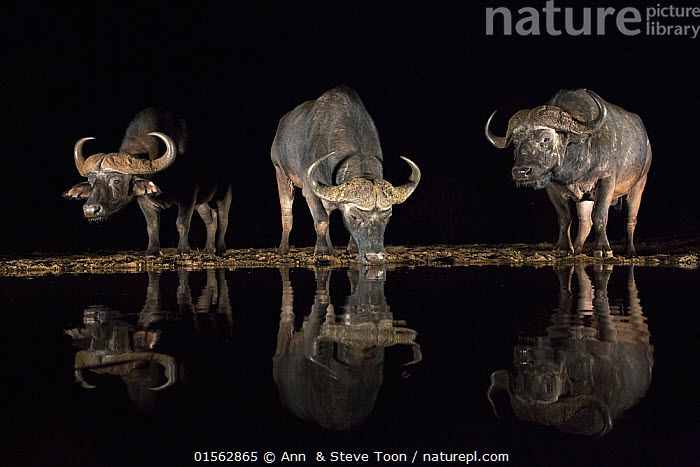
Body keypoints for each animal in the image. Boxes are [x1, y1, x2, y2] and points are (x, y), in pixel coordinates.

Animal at [63, 108, 232, 256]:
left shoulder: (188, 196)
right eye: (91, 182)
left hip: (224, 194)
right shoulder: (145, 199)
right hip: (201, 202)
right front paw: (152, 251)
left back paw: (220, 248)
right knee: (211, 218)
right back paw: (209, 249)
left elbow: (182, 223)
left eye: (116, 180)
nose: (90, 210)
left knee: (223, 218)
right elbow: (152, 225)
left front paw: (183, 250)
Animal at [270, 86, 418, 266]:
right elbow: (321, 220)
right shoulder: (310, 190)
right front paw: (321, 252)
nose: (374, 257)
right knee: (287, 211)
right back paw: (284, 248)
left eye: (388, 216)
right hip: (281, 172)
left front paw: (351, 249)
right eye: (354, 216)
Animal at [486, 89, 652, 258]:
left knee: (630, 219)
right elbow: (565, 218)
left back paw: (630, 251)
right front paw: (564, 247)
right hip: (586, 198)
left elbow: (599, 216)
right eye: (515, 142)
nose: (521, 171)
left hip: (639, 184)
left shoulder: (606, 180)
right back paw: (577, 249)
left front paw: (603, 249)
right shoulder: (552, 188)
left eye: (546, 138)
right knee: (585, 222)